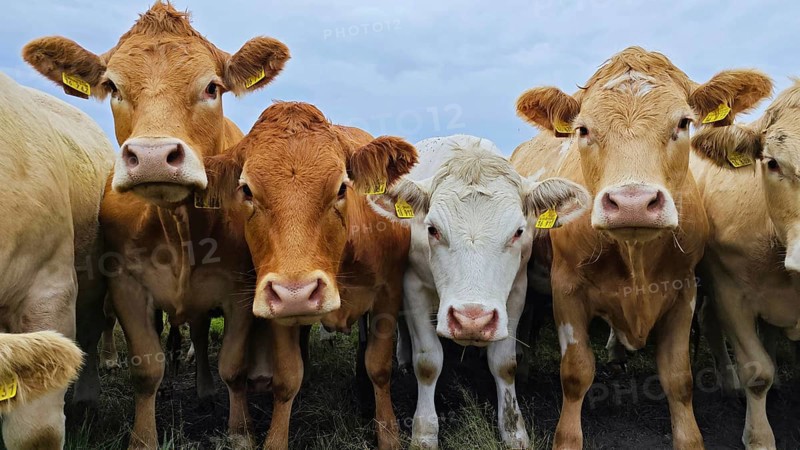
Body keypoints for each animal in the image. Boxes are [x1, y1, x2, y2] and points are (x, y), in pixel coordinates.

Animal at [23, 2, 290, 448]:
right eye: (113, 86)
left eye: (212, 87)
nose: (152, 156)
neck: (178, 226)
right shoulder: (126, 285)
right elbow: (147, 368)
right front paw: (143, 437)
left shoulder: (240, 288)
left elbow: (232, 366)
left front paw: (239, 432)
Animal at [202, 101, 417, 449]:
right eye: (246, 190)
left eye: (342, 187)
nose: (297, 293)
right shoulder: (275, 306)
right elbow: (288, 377)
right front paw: (276, 439)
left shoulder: (389, 293)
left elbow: (379, 367)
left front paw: (388, 435)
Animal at [371, 134, 590, 449]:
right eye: (432, 229)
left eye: (518, 232)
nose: (471, 319)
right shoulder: (413, 286)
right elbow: (427, 362)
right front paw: (424, 433)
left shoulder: (517, 292)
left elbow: (504, 363)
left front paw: (514, 430)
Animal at [511, 46, 772, 449]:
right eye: (583, 129)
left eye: (683, 123)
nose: (632, 203)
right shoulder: (565, 288)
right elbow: (576, 372)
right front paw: (567, 438)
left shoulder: (684, 290)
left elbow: (679, 377)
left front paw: (689, 438)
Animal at [689, 79, 800, 450]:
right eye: (773, 163)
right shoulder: (731, 292)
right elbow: (757, 371)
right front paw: (759, 437)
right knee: (709, 322)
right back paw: (729, 382)